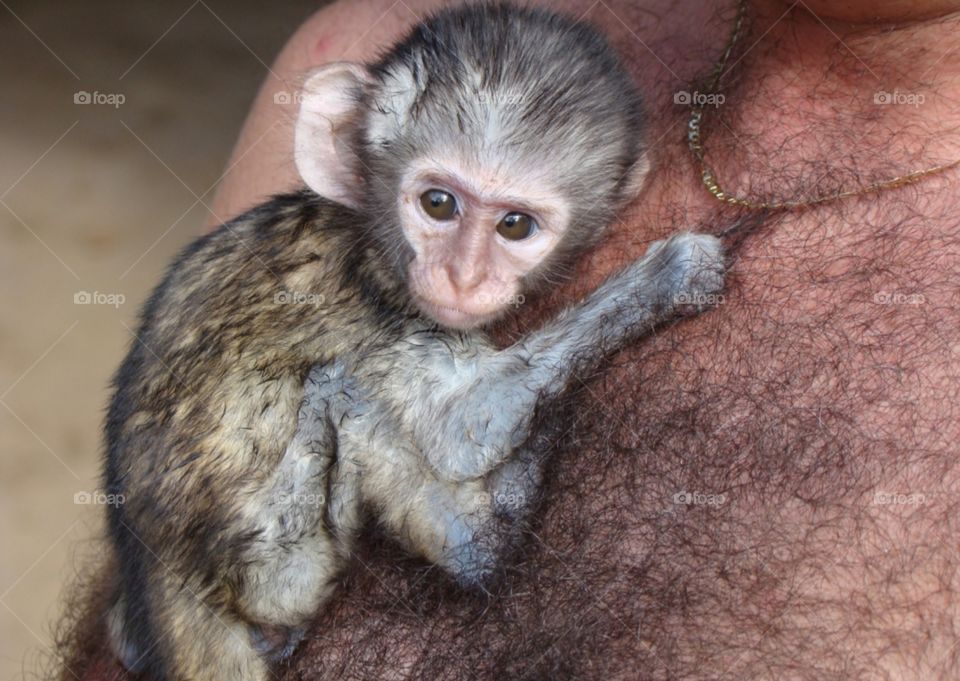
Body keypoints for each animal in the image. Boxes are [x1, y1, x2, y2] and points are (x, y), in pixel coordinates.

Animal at [102, 3, 725, 680]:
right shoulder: (384, 308)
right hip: (277, 553)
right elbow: (459, 430)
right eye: (437, 203)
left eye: (514, 225)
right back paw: (484, 538)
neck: (369, 234)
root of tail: (163, 577)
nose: (462, 277)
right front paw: (666, 277)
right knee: (345, 394)